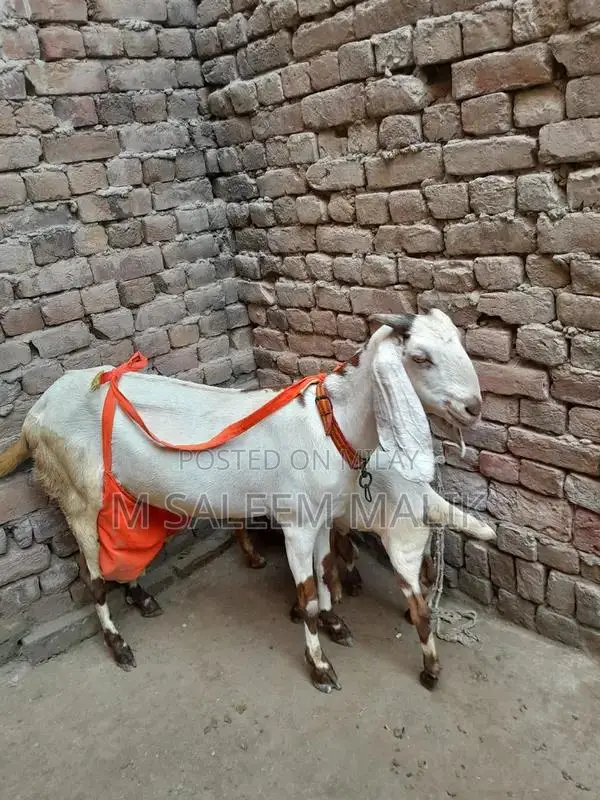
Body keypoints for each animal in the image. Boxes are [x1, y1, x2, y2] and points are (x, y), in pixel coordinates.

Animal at [0, 309, 482, 693]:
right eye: (420, 358)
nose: (474, 407)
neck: (328, 423)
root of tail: (35, 414)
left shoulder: (322, 516)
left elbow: (326, 571)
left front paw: (336, 623)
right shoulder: (296, 523)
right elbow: (307, 594)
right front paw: (320, 665)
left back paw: (141, 597)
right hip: (76, 491)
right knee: (91, 573)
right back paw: (118, 644)